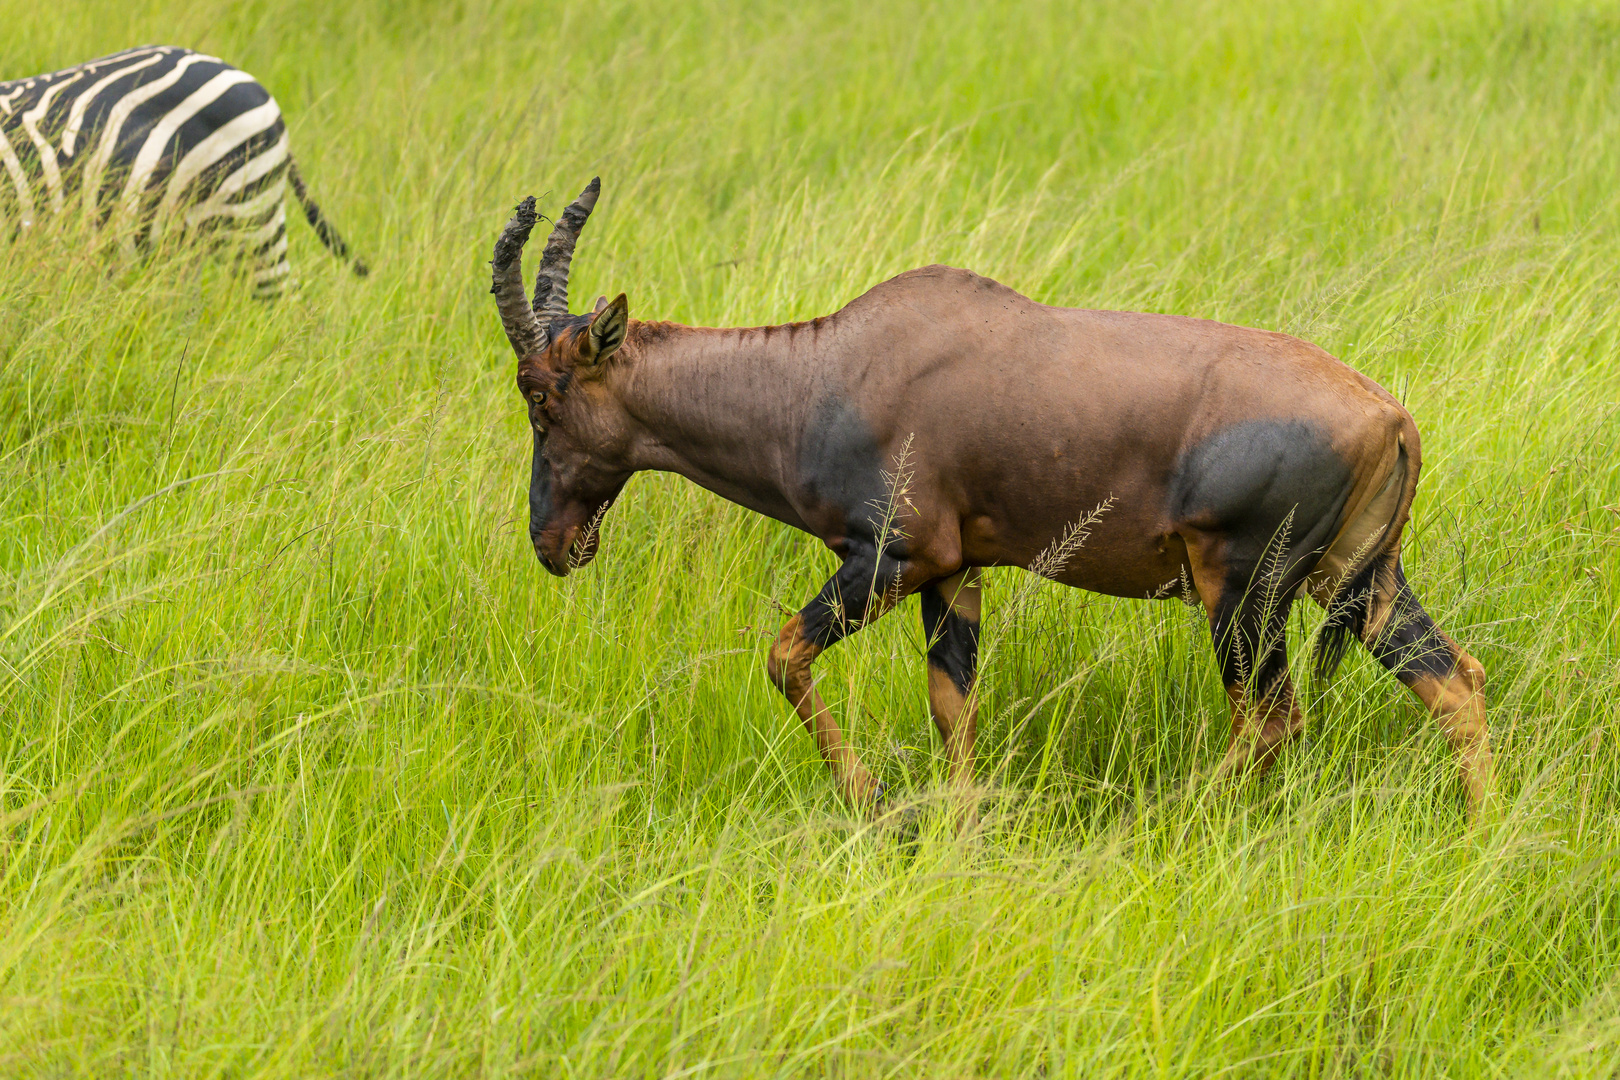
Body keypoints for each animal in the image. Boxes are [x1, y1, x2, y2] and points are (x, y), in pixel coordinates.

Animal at [489, 179, 1490, 819]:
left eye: (540, 395)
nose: (553, 543)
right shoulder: (955, 573)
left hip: (1243, 591)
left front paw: (873, 799)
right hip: (1355, 581)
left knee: (1274, 720)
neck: (832, 371)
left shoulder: (890, 559)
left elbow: (781, 657)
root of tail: (1392, 415)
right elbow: (953, 710)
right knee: (1456, 682)